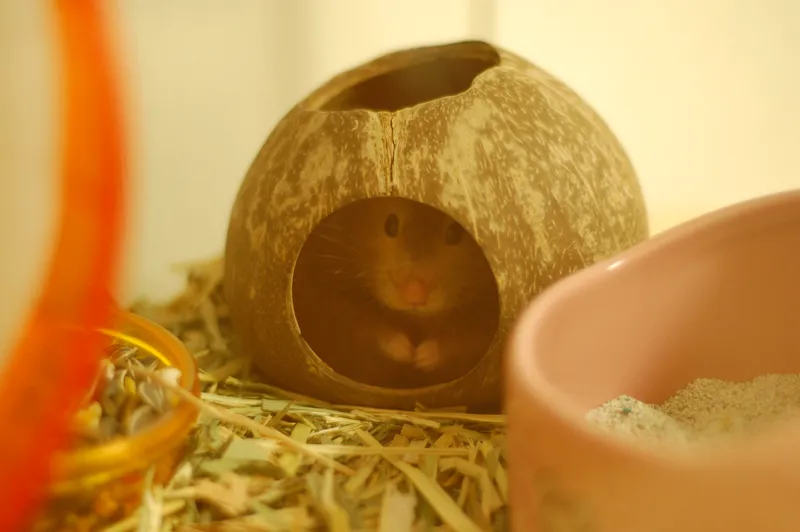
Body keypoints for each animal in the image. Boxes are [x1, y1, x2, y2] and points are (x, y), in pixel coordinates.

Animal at [292, 197, 499, 388]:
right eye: (390, 224)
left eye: (455, 234)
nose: (414, 296)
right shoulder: (320, 289)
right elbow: (362, 323)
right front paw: (406, 352)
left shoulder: (485, 320)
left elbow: (464, 339)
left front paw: (421, 357)